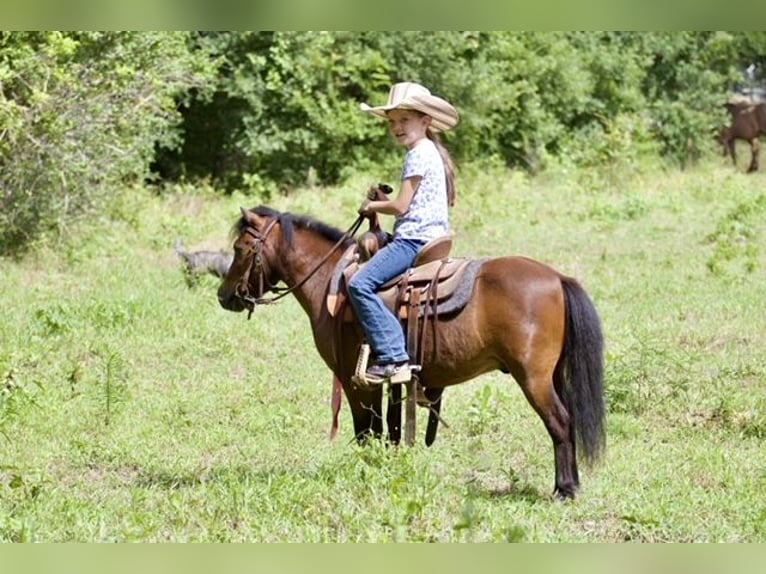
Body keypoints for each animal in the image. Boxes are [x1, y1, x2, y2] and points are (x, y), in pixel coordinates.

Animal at [217, 205, 606, 499]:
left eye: (240, 249)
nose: (224, 296)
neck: (331, 281)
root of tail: (557, 278)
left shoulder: (356, 382)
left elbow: (367, 432)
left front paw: (369, 473)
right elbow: (387, 432)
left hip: (533, 379)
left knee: (560, 422)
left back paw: (565, 489)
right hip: (552, 375)